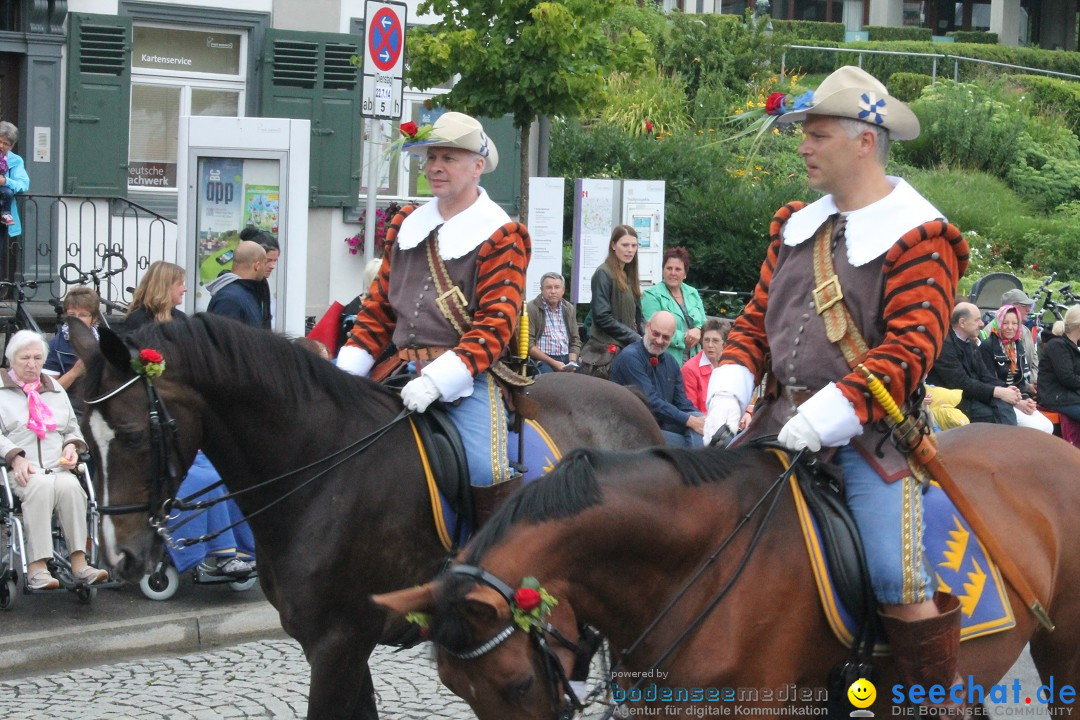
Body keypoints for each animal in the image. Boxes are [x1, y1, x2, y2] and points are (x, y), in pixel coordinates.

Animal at [65, 315, 665, 720]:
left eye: (134, 436)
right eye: (85, 443)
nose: (121, 557)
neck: (319, 468)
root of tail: (631, 399)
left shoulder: (341, 640)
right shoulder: (326, 642)